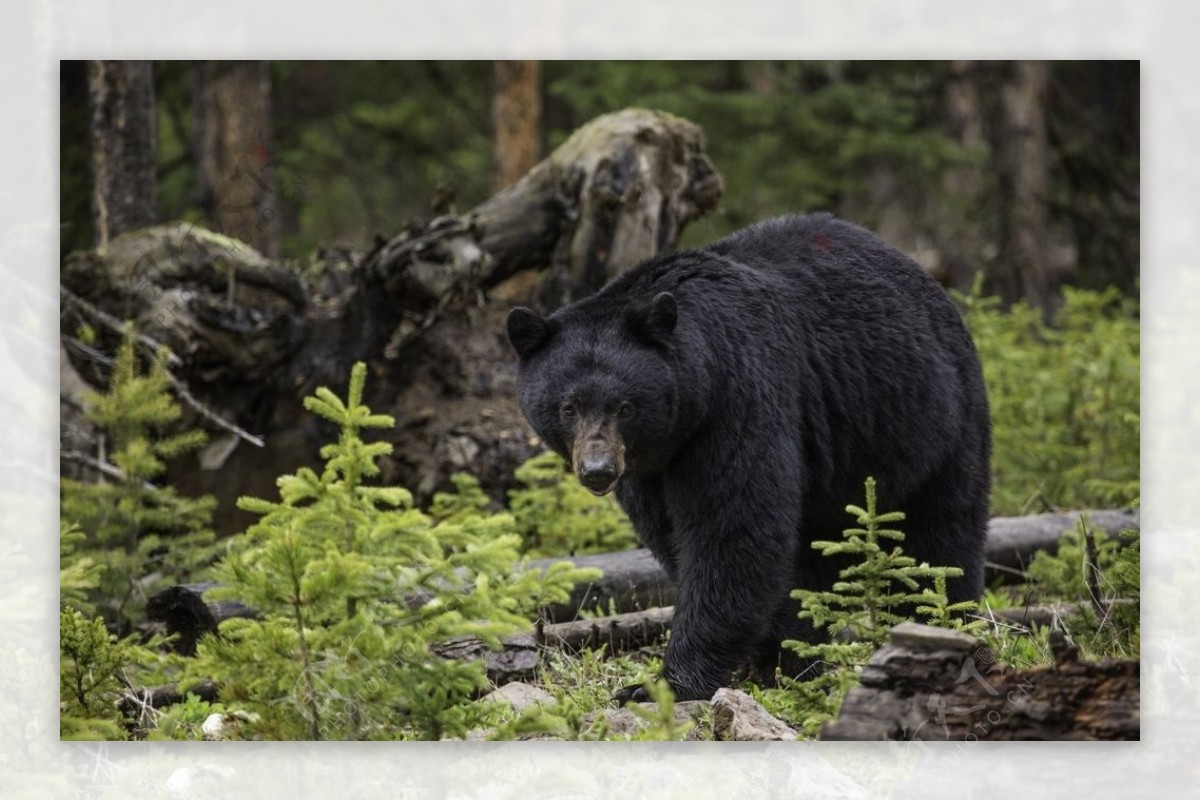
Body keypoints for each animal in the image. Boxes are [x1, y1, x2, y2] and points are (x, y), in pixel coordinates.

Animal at [501, 212, 988, 700]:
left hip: (933, 420)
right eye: (568, 406)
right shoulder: (652, 465)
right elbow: (676, 535)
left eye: (625, 405)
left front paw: (667, 683)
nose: (598, 471)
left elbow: (733, 529)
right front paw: (779, 659)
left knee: (942, 535)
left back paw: (941, 625)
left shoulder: (738, 397)